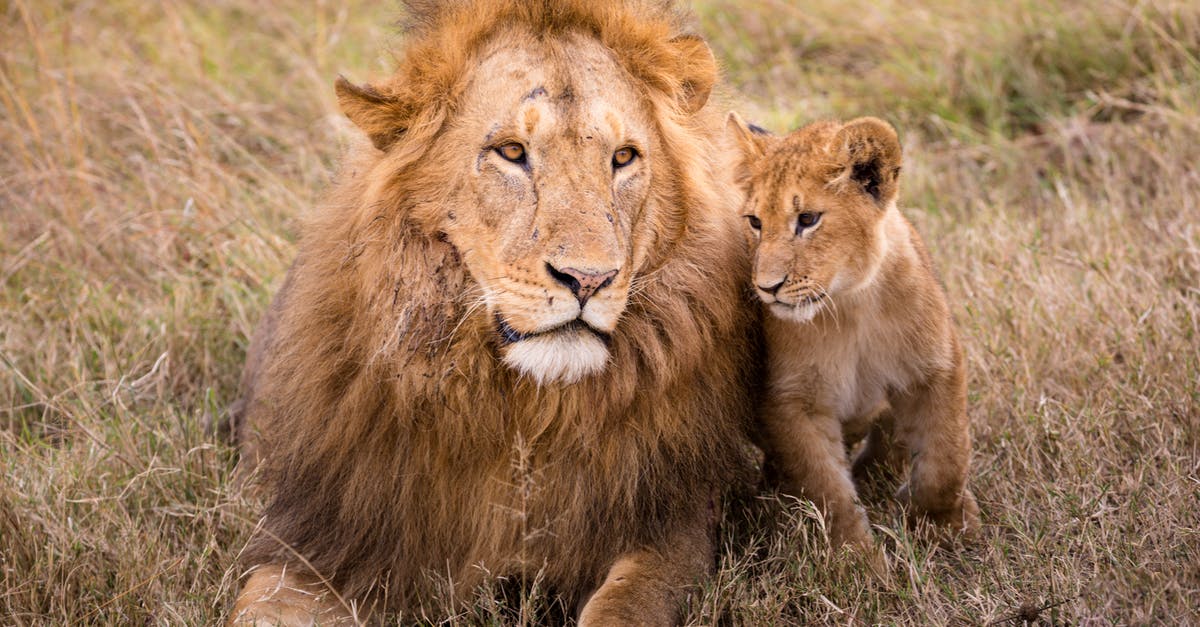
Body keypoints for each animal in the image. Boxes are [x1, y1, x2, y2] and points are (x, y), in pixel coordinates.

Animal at [225, 1, 760, 624]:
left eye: (623, 158)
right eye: (511, 152)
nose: (588, 279)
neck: (523, 412)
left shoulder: (672, 530)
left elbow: (623, 607)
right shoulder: (322, 539)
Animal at [726, 114, 980, 548]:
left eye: (807, 219)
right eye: (755, 222)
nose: (767, 287)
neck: (848, 307)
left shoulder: (937, 367)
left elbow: (947, 456)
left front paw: (946, 523)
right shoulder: (790, 402)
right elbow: (828, 491)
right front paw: (857, 558)